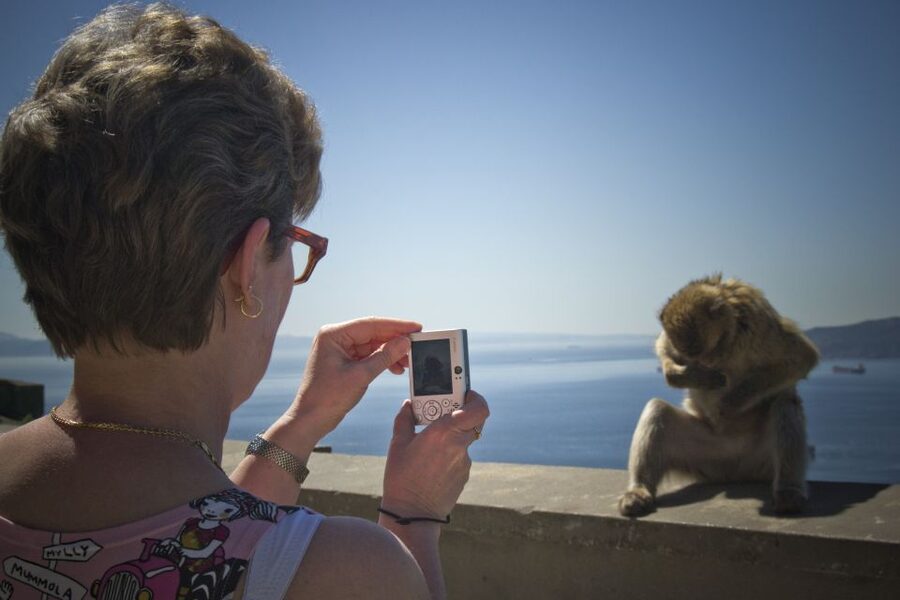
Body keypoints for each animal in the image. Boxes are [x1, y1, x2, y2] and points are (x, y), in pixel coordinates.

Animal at [618, 274, 820, 517]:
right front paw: (682, 375)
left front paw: (729, 405)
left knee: (784, 403)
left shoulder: (760, 324)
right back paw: (638, 492)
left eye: (703, 350)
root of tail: (736, 472)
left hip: (761, 460)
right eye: (690, 355)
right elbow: (663, 344)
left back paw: (788, 491)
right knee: (657, 409)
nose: (704, 363)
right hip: (706, 458)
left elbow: (802, 357)